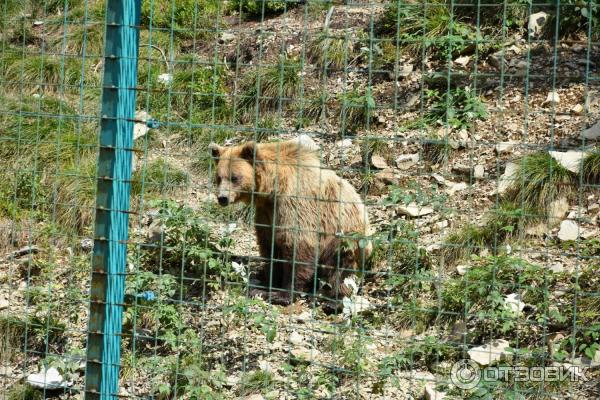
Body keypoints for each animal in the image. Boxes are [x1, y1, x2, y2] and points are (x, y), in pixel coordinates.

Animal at [210, 136, 370, 304]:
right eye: (218, 178)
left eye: (234, 177)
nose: (222, 198)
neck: (274, 188)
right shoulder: (267, 213)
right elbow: (269, 246)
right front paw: (266, 285)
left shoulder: (295, 205)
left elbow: (297, 245)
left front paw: (282, 294)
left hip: (346, 237)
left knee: (341, 270)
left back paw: (332, 300)